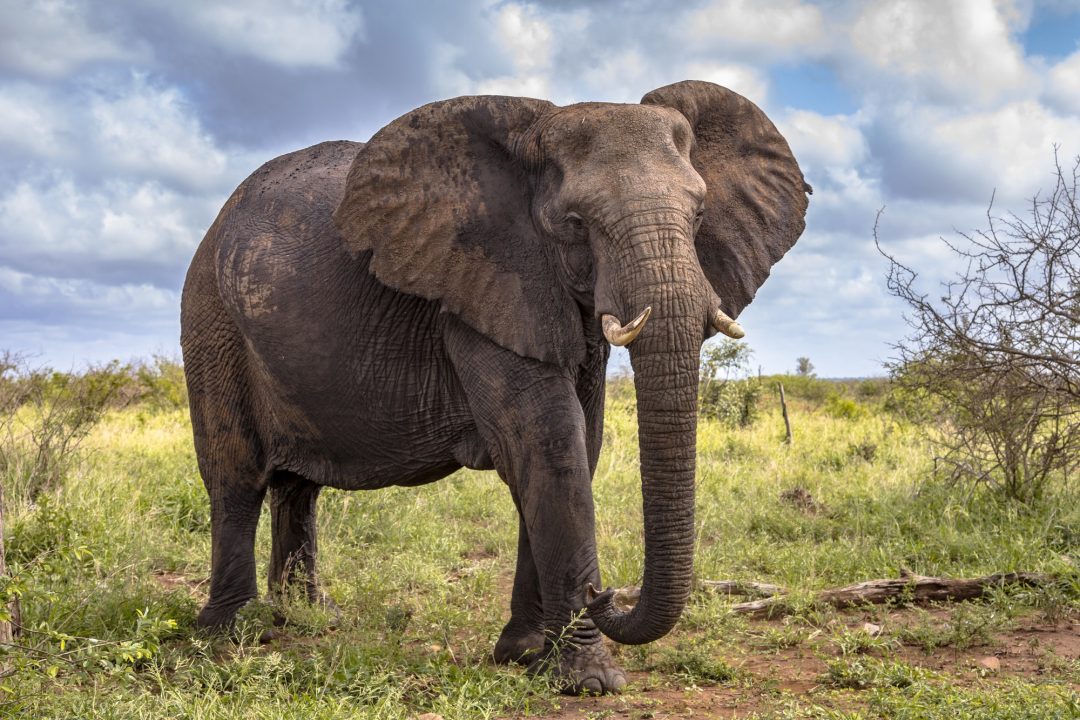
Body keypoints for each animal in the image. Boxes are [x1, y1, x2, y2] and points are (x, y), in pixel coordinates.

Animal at [181, 81, 807, 695]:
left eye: (699, 215)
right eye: (576, 223)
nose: (603, 594)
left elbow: (579, 446)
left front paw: (526, 654)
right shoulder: (479, 289)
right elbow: (550, 445)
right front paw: (590, 681)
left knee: (298, 486)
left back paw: (309, 618)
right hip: (211, 317)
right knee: (235, 476)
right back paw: (235, 631)